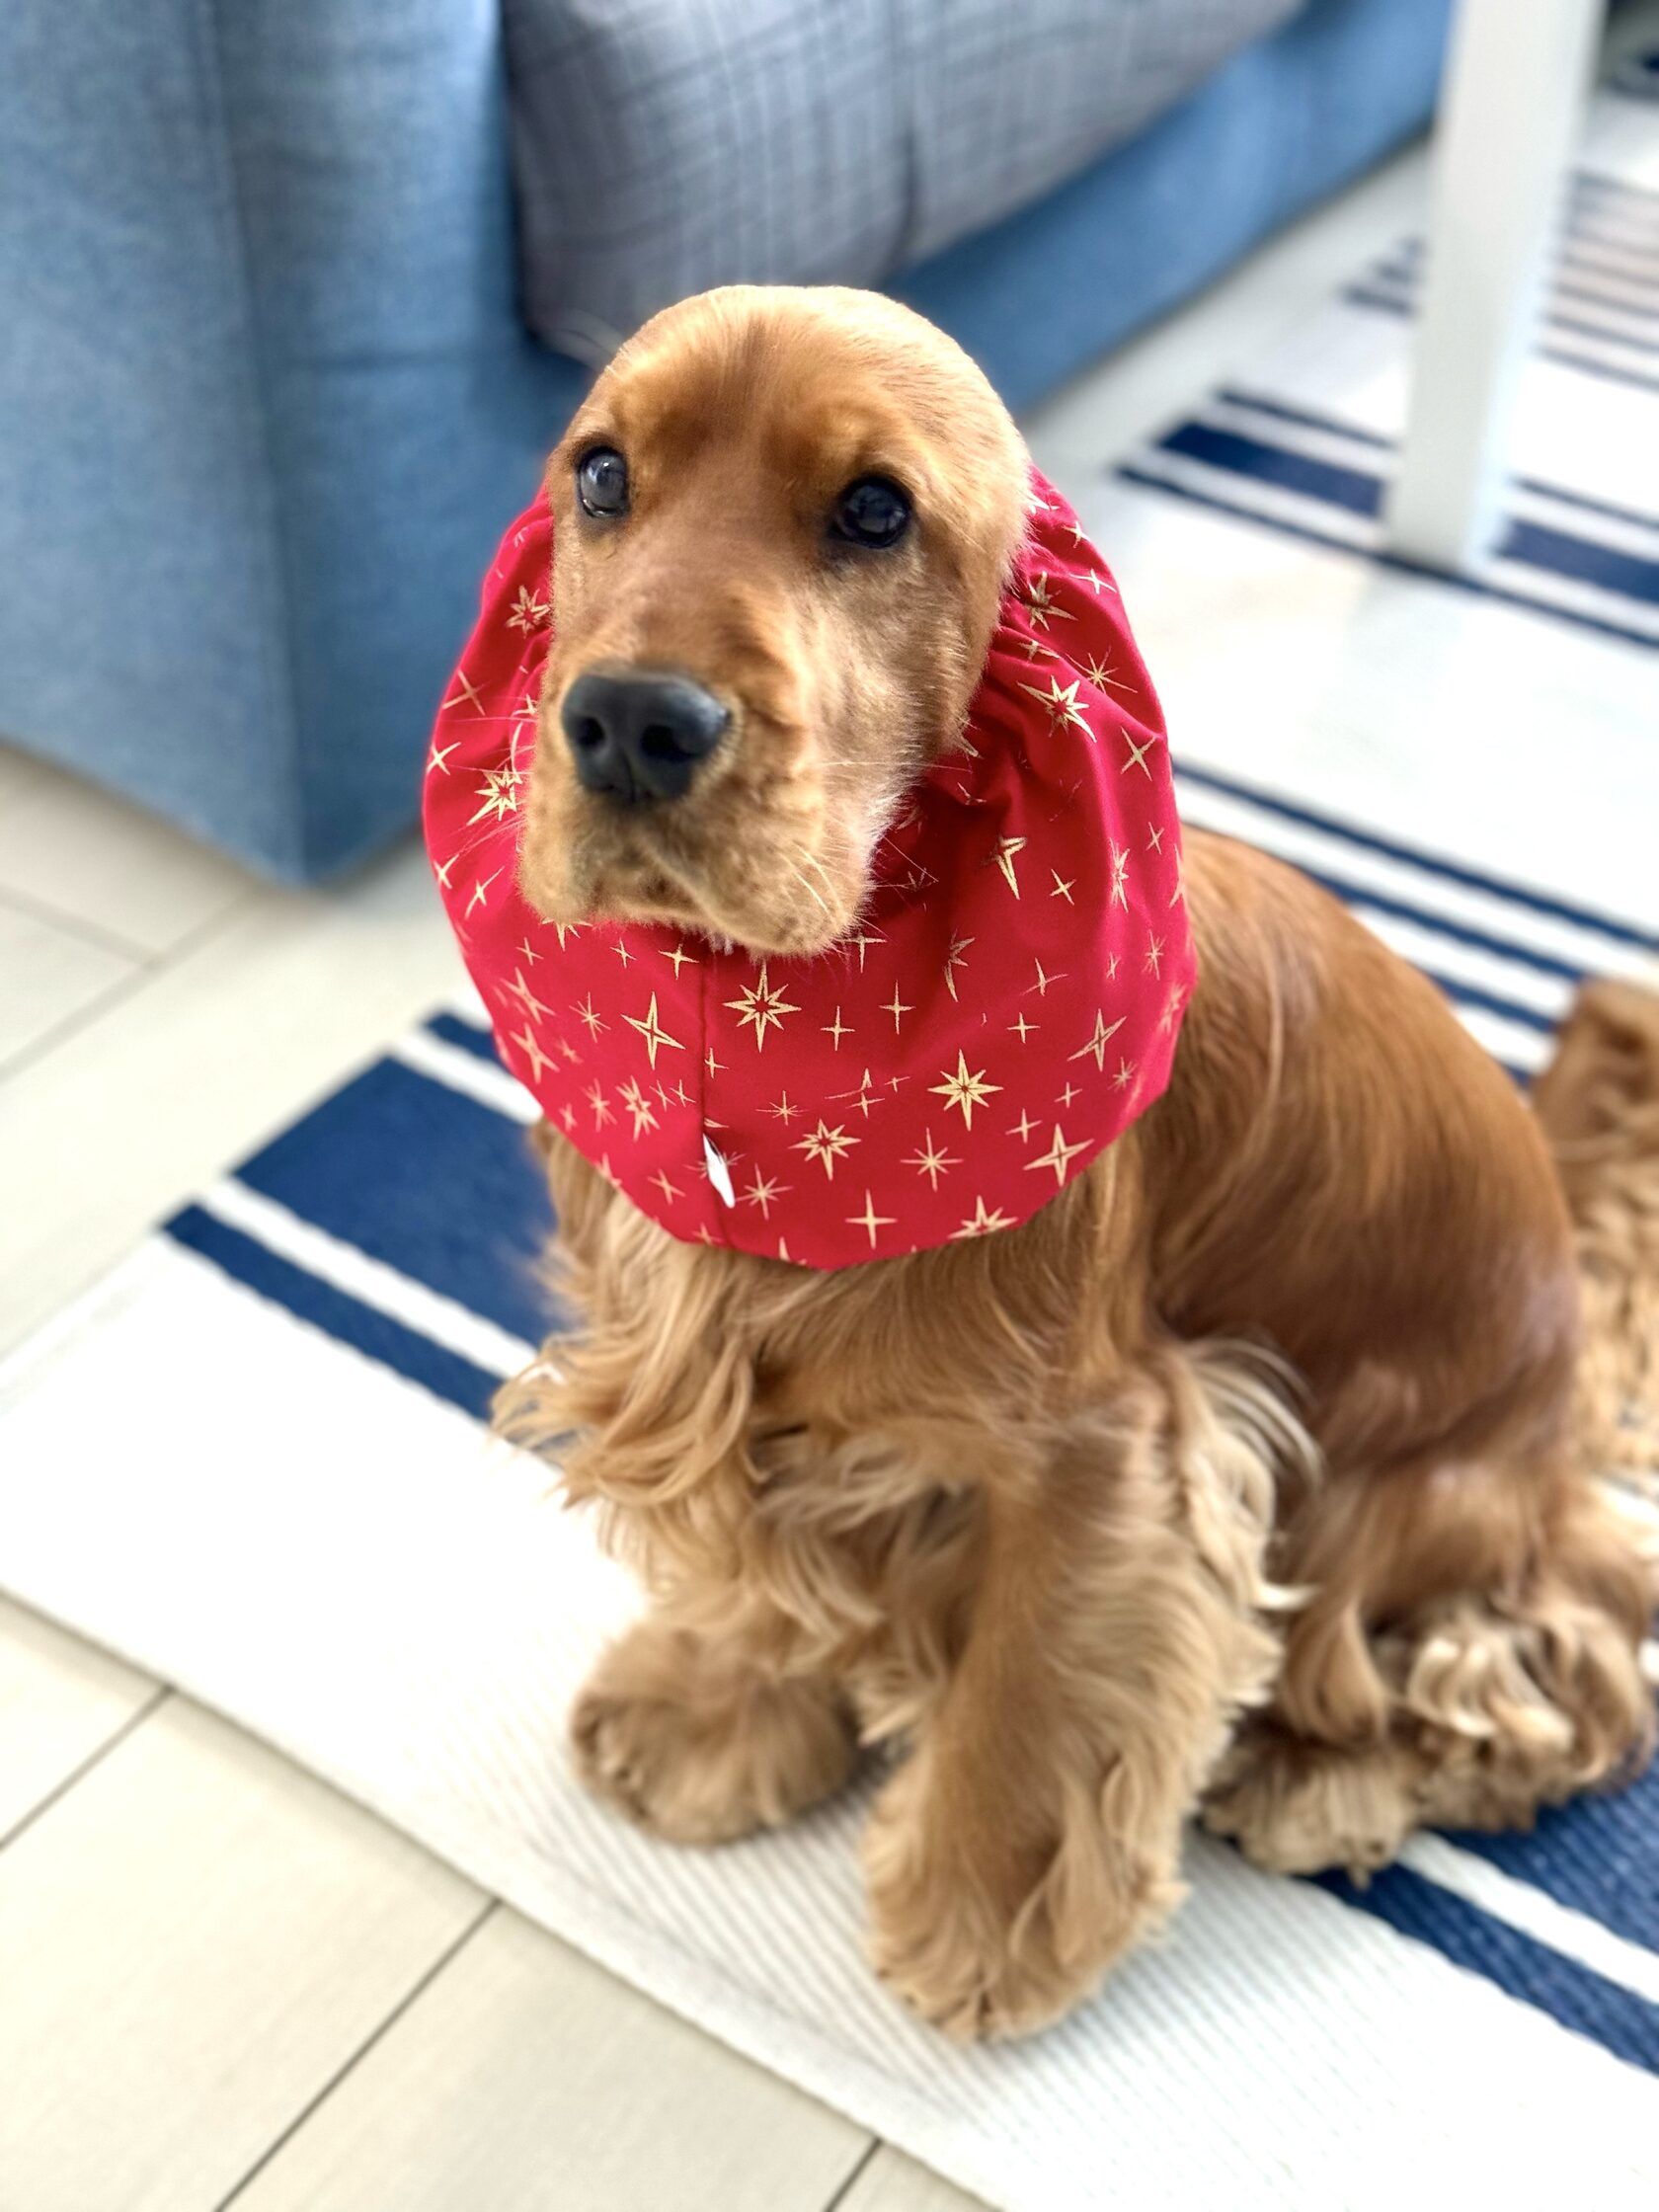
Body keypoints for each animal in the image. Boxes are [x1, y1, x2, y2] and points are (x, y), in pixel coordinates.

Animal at [441, 286, 1658, 2040]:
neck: (785, 1039)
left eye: (876, 511)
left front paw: (983, 1918)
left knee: (1558, 1652)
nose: (627, 722)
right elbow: (761, 1567)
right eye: (600, 475)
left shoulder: (1111, 1445)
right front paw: (712, 1716)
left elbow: (1037, 1675)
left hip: (1402, 1494)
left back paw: (1329, 1780)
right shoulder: (727, 1377)